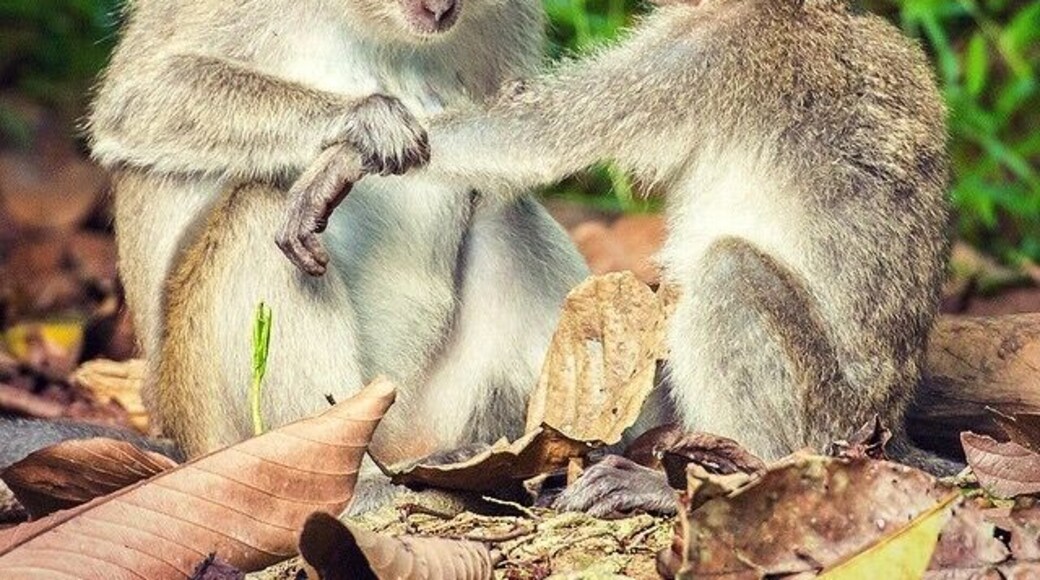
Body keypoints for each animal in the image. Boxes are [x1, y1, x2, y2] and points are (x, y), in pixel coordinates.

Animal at [85, 0, 588, 512]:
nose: (440, 7)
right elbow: (143, 94)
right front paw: (366, 121)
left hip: (431, 411)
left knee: (500, 206)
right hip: (210, 421)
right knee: (256, 206)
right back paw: (355, 484)